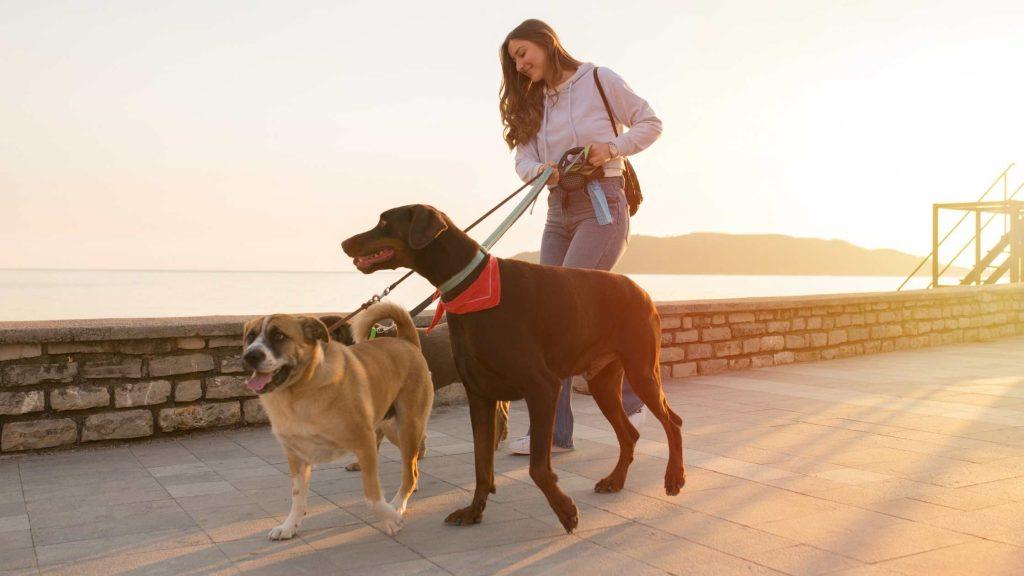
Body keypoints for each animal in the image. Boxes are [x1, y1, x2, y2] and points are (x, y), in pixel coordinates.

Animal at [242, 301, 432, 537]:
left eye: (279, 335)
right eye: (250, 336)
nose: (250, 356)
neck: (299, 393)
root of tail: (405, 341)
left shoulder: (365, 443)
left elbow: (372, 498)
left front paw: (391, 519)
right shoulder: (296, 455)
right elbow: (298, 497)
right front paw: (289, 526)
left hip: (407, 426)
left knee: (410, 469)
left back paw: (398, 504)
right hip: (392, 429)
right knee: (412, 466)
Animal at [339, 203, 684, 532]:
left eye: (385, 222)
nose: (344, 242)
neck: (471, 288)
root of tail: (641, 291)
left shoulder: (542, 388)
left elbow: (538, 466)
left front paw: (565, 511)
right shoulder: (479, 394)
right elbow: (482, 464)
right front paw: (473, 511)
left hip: (641, 370)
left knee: (673, 422)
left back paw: (674, 477)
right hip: (602, 382)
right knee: (630, 433)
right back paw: (615, 480)